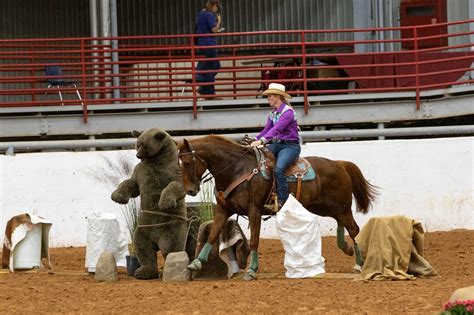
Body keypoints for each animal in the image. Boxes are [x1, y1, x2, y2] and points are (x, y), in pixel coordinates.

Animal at [178, 136, 378, 282]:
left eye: (187, 163)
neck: (237, 169)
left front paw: (251, 271)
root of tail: (339, 164)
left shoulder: (254, 210)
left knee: (354, 229)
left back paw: (359, 263)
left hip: (341, 207)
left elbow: (254, 241)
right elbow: (212, 235)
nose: (190, 190)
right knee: (342, 226)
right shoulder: (223, 209)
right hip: (325, 207)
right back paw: (349, 251)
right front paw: (196, 263)